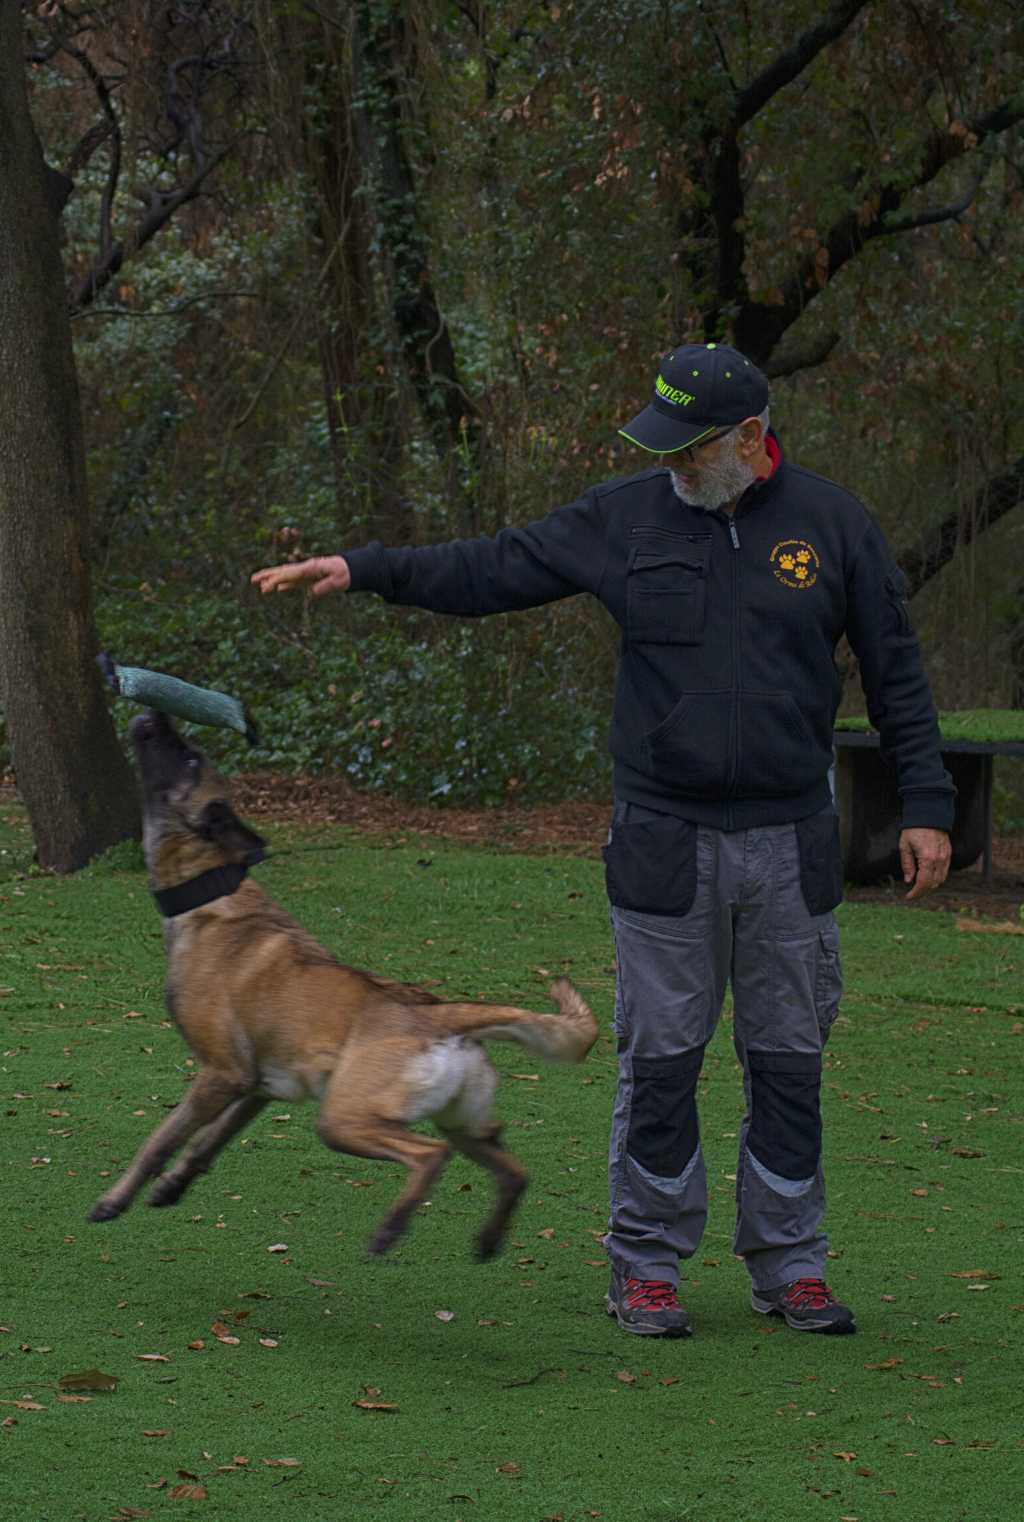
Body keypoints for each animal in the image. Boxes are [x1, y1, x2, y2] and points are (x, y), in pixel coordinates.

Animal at [89, 706, 599, 1254]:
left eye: (189, 757)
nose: (154, 712)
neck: (211, 893)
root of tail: (438, 1013)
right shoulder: (256, 1087)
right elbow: (206, 1142)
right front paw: (173, 1185)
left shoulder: (221, 1074)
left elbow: (160, 1140)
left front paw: (115, 1199)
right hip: (461, 1122)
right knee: (512, 1171)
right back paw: (487, 1238)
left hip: (346, 1118)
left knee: (429, 1154)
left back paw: (392, 1227)